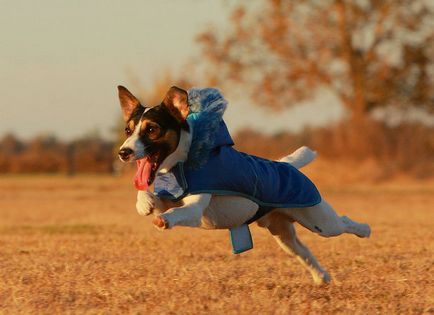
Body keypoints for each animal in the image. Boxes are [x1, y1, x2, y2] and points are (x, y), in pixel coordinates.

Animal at [115, 85, 370, 286]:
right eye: (128, 130)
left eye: (151, 129)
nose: (123, 152)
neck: (181, 163)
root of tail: (287, 165)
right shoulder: (169, 196)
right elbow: (149, 195)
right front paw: (145, 204)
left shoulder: (195, 209)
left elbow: (178, 212)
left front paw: (164, 220)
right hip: (283, 234)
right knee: (303, 251)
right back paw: (321, 277)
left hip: (320, 221)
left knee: (343, 222)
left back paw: (364, 230)